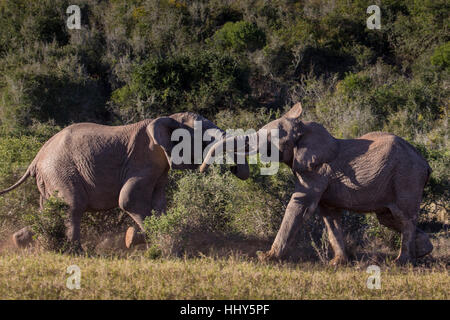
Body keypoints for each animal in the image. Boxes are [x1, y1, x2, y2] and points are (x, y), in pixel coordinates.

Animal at [0, 112, 250, 250]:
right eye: (205, 138)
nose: (235, 169)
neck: (168, 117)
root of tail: (36, 159)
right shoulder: (141, 163)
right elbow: (128, 200)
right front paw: (142, 241)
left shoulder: (159, 169)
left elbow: (159, 204)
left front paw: (162, 243)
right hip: (60, 171)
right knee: (72, 207)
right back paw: (77, 253)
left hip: (49, 178)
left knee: (48, 211)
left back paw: (20, 242)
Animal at [200, 102, 432, 264]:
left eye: (270, 141)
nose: (203, 170)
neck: (304, 131)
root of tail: (425, 164)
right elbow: (329, 216)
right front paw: (337, 263)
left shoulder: (316, 171)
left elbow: (299, 204)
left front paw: (265, 258)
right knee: (389, 218)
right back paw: (424, 250)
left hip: (406, 178)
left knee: (404, 218)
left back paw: (401, 261)